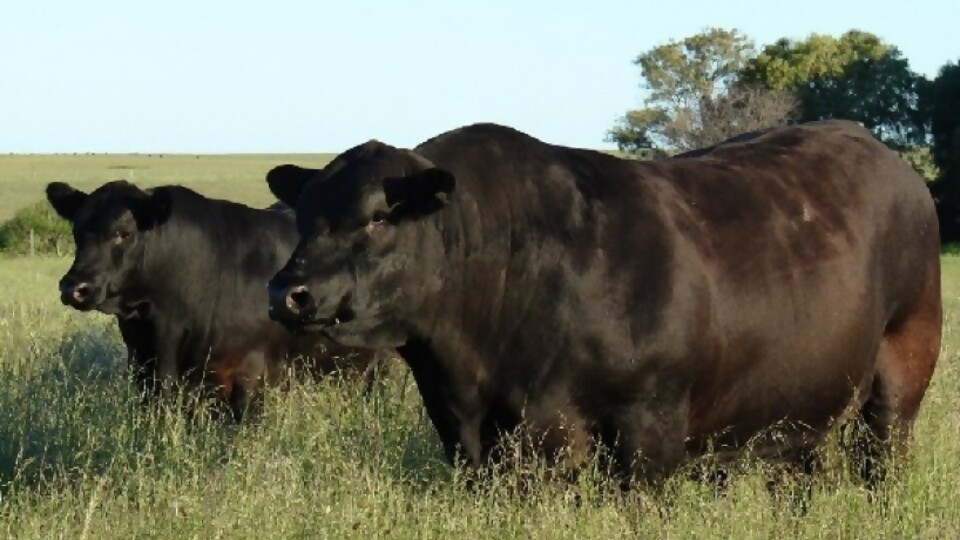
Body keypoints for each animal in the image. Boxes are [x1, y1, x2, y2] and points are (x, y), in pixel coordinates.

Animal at [262, 121, 936, 486]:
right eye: (305, 214)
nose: (288, 291)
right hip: (800, 407)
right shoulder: (474, 443)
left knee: (882, 461)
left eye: (379, 218)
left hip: (899, 377)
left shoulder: (649, 433)